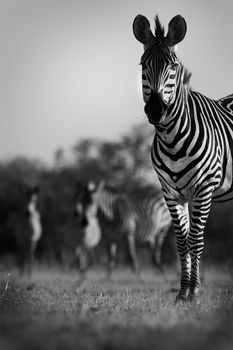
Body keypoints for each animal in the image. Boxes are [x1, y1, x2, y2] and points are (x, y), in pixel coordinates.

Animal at [133, 13, 233, 302]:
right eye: (142, 65)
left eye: (174, 66)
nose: (156, 110)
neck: (172, 138)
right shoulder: (171, 193)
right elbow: (181, 241)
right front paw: (183, 291)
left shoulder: (203, 189)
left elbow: (196, 240)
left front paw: (195, 292)